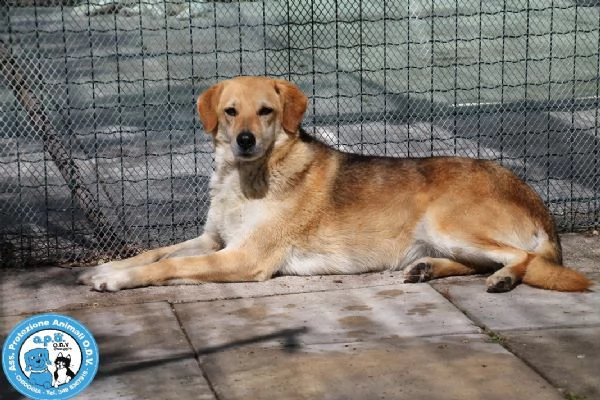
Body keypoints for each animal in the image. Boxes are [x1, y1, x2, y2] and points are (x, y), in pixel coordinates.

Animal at [78, 76, 592, 294]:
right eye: (231, 111)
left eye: (266, 111)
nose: (245, 140)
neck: (246, 178)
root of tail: (533, 196)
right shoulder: (213, 240)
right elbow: (155, 253)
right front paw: (107, 266)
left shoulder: (242, 258)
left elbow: (167, 266)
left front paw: (116, 279)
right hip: (446, 238)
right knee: (485, 261)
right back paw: (428, 269)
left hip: (447, 223)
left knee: (525, 259)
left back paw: (505, 278)